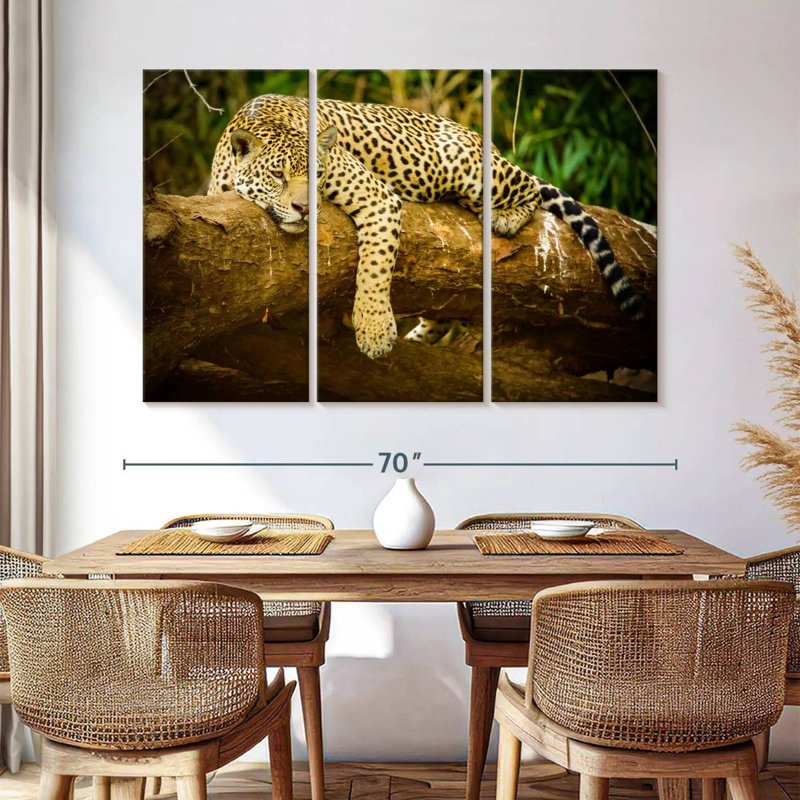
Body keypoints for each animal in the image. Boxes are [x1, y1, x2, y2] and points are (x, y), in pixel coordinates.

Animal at [209, 94, 646, 359]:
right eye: (278, 175)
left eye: (316, 175)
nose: (304, 208)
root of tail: (482, 139)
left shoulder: (378, 197)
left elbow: (374, 268)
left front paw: (373, 330)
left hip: (469, 168)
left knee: (529, 187)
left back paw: (503, 215)